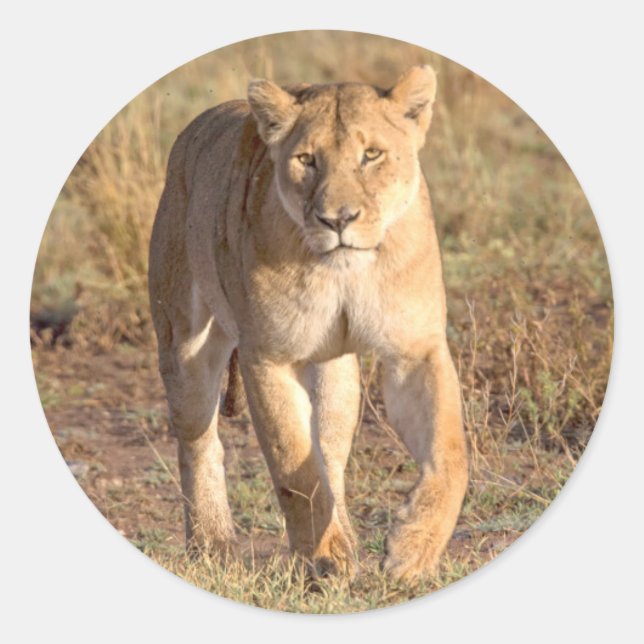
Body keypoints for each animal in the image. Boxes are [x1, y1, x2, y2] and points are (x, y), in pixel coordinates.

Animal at [148, 65, 468, 581]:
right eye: (306, 160)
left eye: (371, 154)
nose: (338, 219)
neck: (346, 271)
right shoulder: (268, 357)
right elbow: (291, 464)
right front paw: (323, 558)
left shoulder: (415, 350)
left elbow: (450, 452)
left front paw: (412, 550)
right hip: (184, 348)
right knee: (200, 441)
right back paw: (214, 545)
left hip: (336, 371)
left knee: (329, 452)